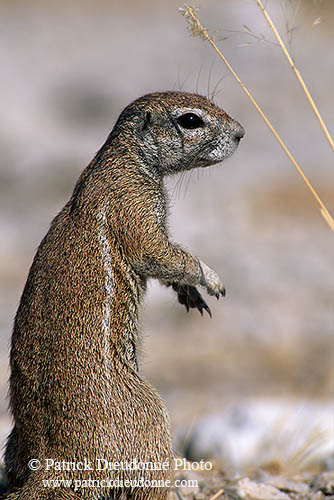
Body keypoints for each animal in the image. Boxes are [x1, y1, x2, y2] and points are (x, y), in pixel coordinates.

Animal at [4, 91, 243, 500]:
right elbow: (159, 253)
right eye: (191, 119)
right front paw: (211, 279)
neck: (125, 158)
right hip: (151, 417)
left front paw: (190, 294)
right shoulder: (136, 205)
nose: (241, 133)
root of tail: (51, 465)